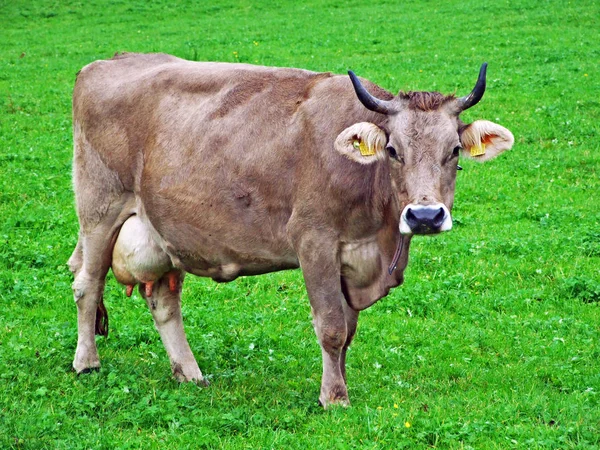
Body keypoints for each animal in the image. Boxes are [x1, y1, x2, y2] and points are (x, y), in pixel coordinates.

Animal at [68, 53, 512, 408]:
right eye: (392, 151)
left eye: (454, 150)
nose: (424, 216)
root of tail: (108, 62)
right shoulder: (314, 240)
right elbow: (331, 327)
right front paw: (334, 398)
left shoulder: (353, 259)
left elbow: (348, 331)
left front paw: (339, 383)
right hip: (99, 211)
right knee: (87, 283)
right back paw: (86, 362)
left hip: (164, 229)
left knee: (163, 301)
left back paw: (189, 373)